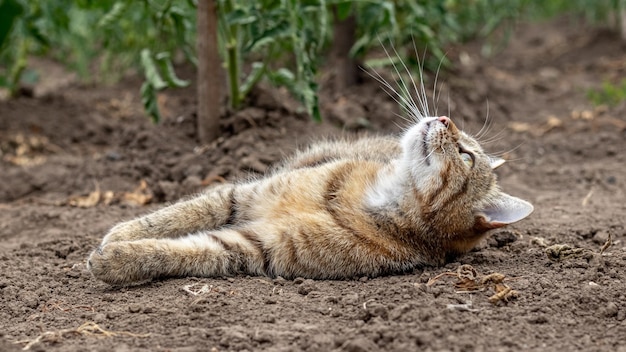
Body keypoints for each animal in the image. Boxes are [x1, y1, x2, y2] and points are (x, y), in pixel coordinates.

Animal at [85, 69, 532, 286]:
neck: (377, 193)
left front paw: (116, 259)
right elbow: (175, 216)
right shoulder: (242, 195)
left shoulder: (254, 247)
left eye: (466, 156)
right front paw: (121, 234)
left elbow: (180, 251)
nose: (444, 118)